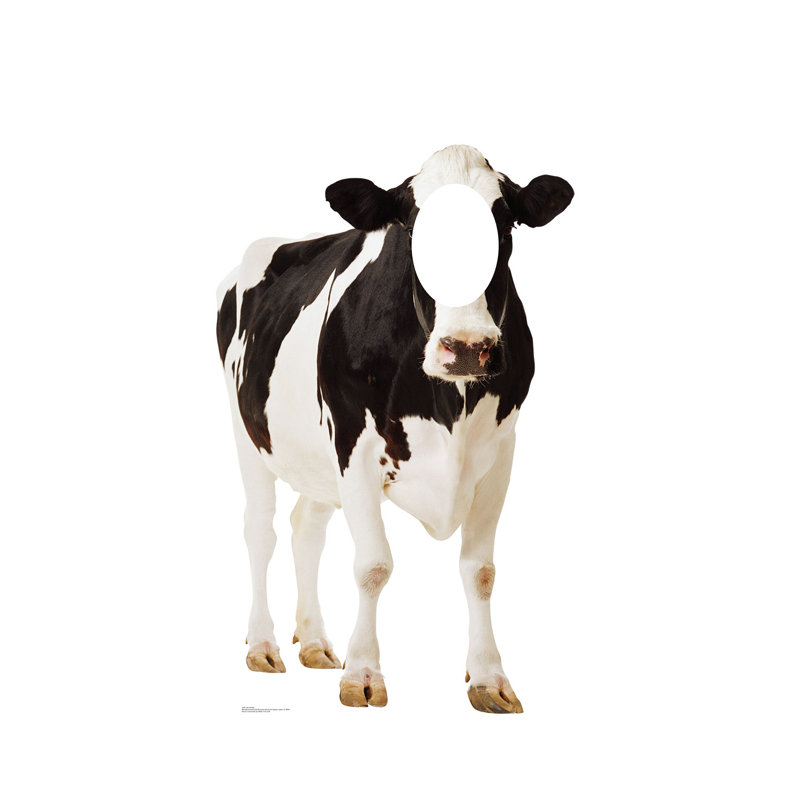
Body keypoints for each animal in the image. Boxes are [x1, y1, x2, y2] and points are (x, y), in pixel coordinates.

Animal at [216, 145, 573, 712]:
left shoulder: (501, 453)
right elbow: (373, 565)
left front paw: (489, 678)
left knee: (306, 528)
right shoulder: (353, 446)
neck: (448, 402)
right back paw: (263, 645)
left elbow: (481, 571)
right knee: (259, 530)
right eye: (411, 228)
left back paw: (313, 641)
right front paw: (363, 674)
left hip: (316, 458)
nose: (467, 347)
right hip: (247, 431)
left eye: (505, 224)